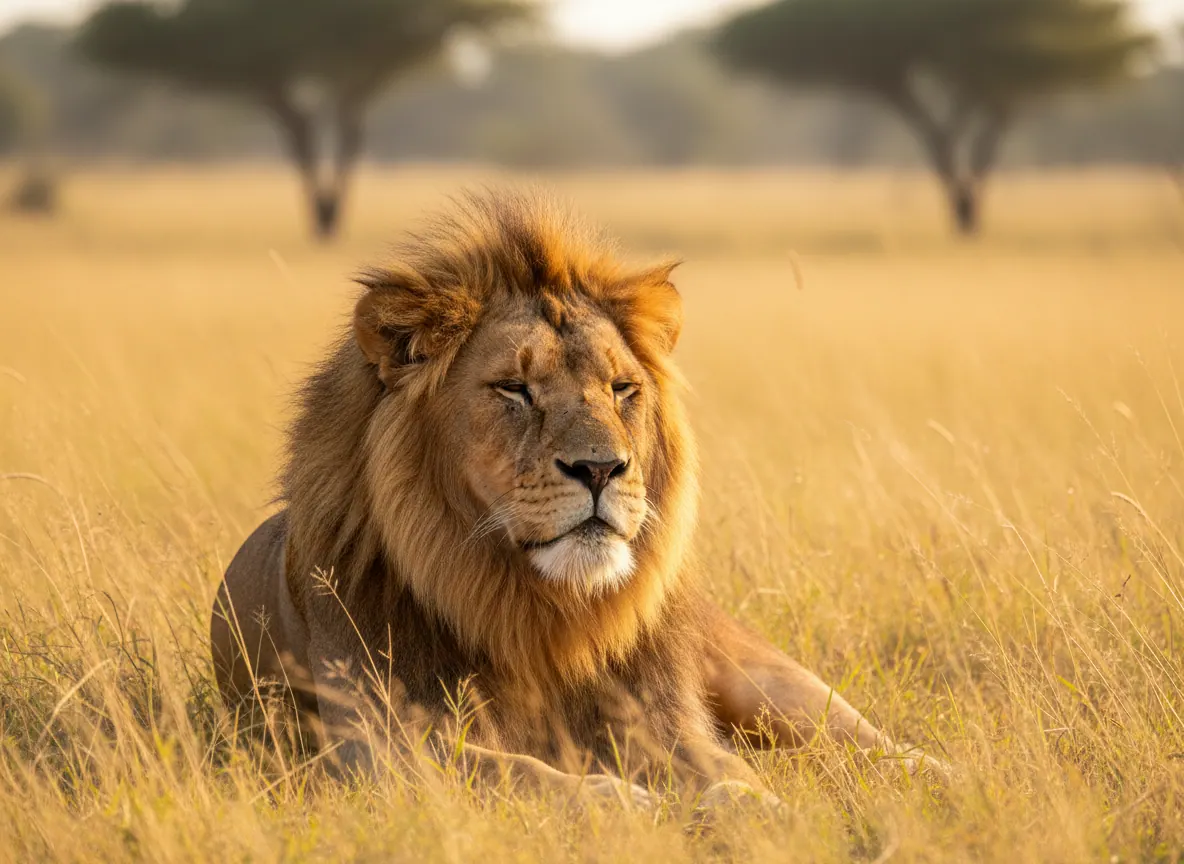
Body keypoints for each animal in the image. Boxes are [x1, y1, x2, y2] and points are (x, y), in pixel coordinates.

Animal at [210, 191, 936, 814]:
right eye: (513, 388)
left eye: (621, 388)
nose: (601, 468)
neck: (540, 618)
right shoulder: (371, 747)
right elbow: (513, 771)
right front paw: (626, 802)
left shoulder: (666, 721)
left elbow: (727, 772)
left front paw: (760, 810)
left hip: (765, 681)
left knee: (852, 741)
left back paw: (928, 775)